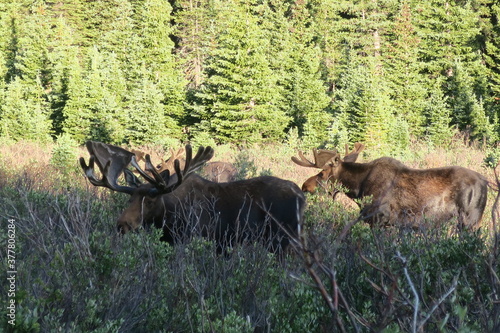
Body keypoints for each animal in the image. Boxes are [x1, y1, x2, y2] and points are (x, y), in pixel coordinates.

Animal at [81, 140, 304, 252]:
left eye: (151, 200)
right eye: (130, 199)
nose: (122, 224)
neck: (168, 220)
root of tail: (302, 196)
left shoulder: (199, 237)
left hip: (281, 239)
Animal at [292, 143, 488, 228]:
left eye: (322, 173)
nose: (304, 186)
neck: (358, 189)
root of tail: (487, 182)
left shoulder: (381, 220)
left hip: (470, 221)